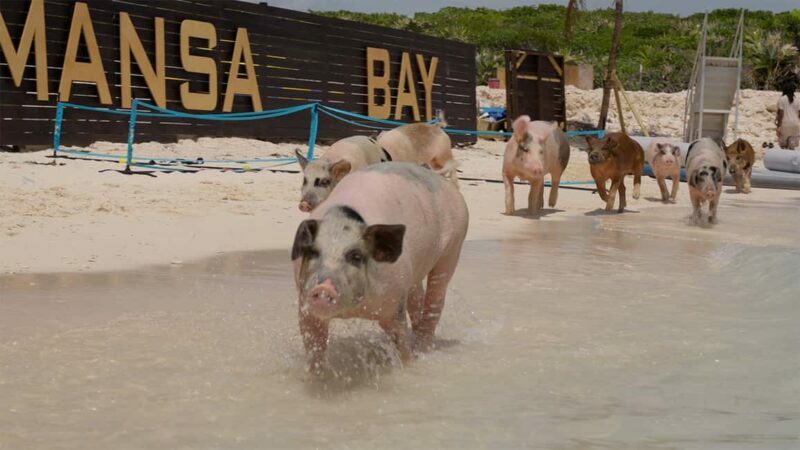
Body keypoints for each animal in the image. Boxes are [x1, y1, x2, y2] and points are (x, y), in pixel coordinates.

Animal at [291, 162, 469, 371]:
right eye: (313, 252)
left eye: (356, 256)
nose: (323, 288)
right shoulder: (305, 305)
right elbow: (314, 345)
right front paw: (318, 374)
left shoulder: (393, 301)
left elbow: (400, 341)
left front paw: (411, 365)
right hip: (414, 273)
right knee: (417, 298)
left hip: (454, 245)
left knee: (436, 298)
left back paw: (423, 349)